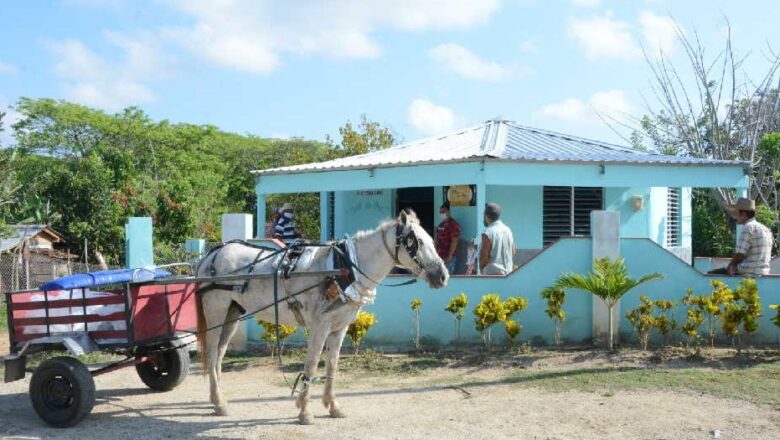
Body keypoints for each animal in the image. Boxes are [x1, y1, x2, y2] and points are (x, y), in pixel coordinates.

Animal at [193, 210, 448, 422]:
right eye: (416, 242)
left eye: (432, 240)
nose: (443, 275)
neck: (343, 267)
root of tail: (213, 254)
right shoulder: (320, 326)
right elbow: (312, 366)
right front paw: (305, 411)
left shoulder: (339, 328)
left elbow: (332, 366)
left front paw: (333, 406)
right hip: (216, 310)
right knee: (212, 353)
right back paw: (219, 403)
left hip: (233, 312)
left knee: (219, 354)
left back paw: (217, 398)